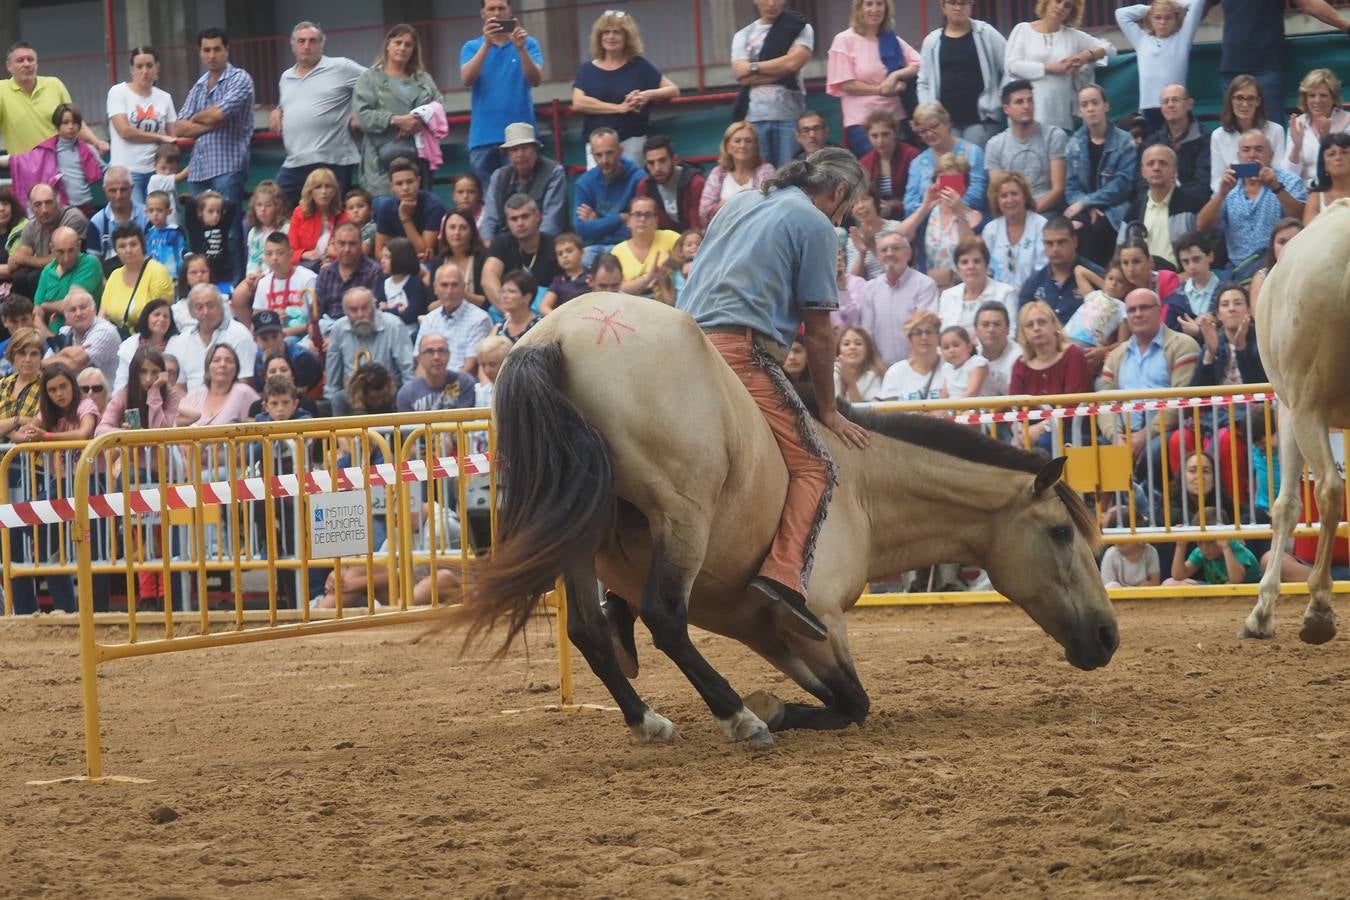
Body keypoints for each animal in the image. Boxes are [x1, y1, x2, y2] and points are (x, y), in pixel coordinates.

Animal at [453, 295, 1117, 744]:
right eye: (1061, 532)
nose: (1108, 636)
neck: (862, 488)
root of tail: (554, 338)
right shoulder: (818, 621)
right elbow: (855, 703)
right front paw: (770, 709)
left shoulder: (768, 632)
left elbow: (844, 698)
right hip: (682, 515)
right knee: (665, 618)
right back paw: (739, 718)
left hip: (579, 534)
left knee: (591, 630)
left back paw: (648, 720)